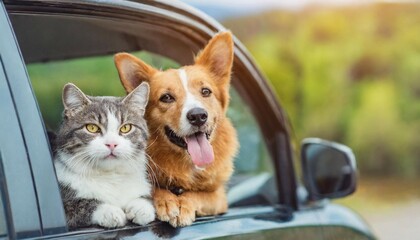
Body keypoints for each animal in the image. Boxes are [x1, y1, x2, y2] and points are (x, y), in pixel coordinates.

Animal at [53, 82, 155, 229]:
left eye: (126, 128)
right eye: (92, 128)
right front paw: (110, 211)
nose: (112, 144)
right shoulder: (66, 206)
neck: (110, 177)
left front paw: (141, 207)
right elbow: (81, 204)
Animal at [115, 31, 238, 227]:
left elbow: (200, 194)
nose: (198, 116)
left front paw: (184, 204)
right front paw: (167, 201)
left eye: (205, 91)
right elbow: (153, 188)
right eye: (166, 97)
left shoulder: (218, 197)